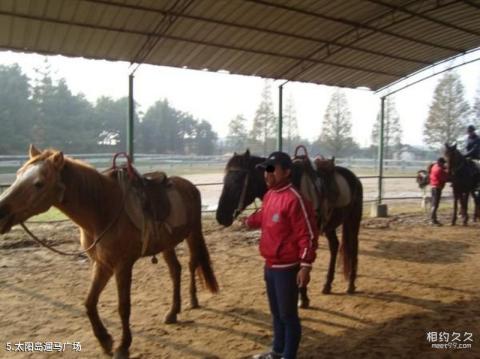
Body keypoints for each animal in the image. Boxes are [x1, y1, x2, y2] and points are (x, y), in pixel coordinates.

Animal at [0, 146, 218, 359]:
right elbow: (89, 302)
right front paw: (105, 340)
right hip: (167, 244)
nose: (1, 213)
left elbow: (123, 306)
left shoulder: (123, 265)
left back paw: (193, 301)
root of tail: (189, 186)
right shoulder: (102, 264)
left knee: (193, 263)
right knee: (176, 270)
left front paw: (123, 346)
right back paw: (173, 312)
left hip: (193, 233)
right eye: (18, 175)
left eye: (39, 183)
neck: (104, 211)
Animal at [216, 150, 362, 306]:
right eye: (225, 180)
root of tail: (355, 178)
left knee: (353, 247)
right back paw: (327, 285)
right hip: (330, 224)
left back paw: (351, 285)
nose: (220, 216)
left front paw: (303, 298)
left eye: (237, 181)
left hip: (353, 220)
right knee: (334, 246)